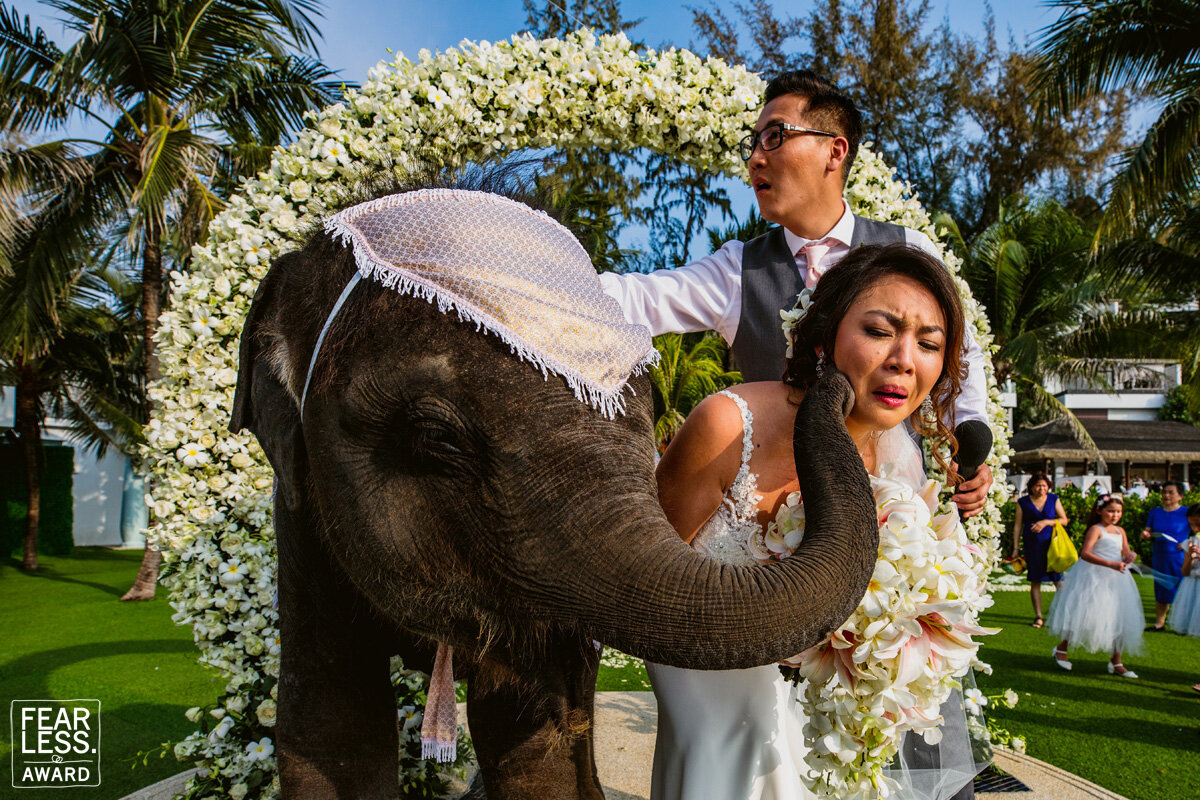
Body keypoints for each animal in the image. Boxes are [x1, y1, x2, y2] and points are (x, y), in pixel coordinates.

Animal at [229, 181, 878, 800]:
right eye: (434, 437)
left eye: (651, 411)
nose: (828, 365)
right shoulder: (301, 523)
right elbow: (330, 725)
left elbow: (525, 729)